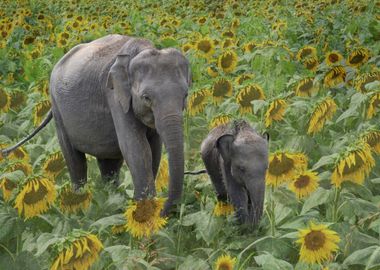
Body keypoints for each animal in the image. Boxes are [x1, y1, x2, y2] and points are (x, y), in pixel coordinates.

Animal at [1, 34, 190, 215]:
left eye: (185, 95)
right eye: (146, 98)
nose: (168, 211)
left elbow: (154, 148)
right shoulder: (115, 96)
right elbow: (136, 147)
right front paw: (146, 208)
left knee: (109, 164)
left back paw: (111, 198)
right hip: (57, 108)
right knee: (75, 159)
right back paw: (80, 203)